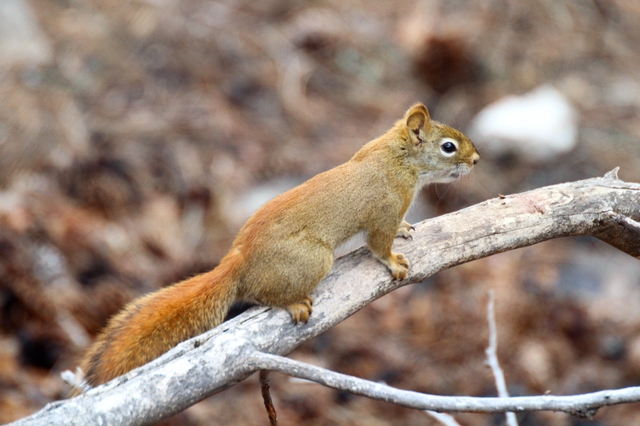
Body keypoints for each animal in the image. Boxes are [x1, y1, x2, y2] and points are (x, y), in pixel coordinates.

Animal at [77, 102, 478, 386]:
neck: (397, 158)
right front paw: (394, 261)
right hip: (313, 259)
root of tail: (237, 262)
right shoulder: (383, 209)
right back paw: (293, 302)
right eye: (448, 147)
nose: (476, 159)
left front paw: (406, 229)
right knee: (263, 294)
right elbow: (378, 245)